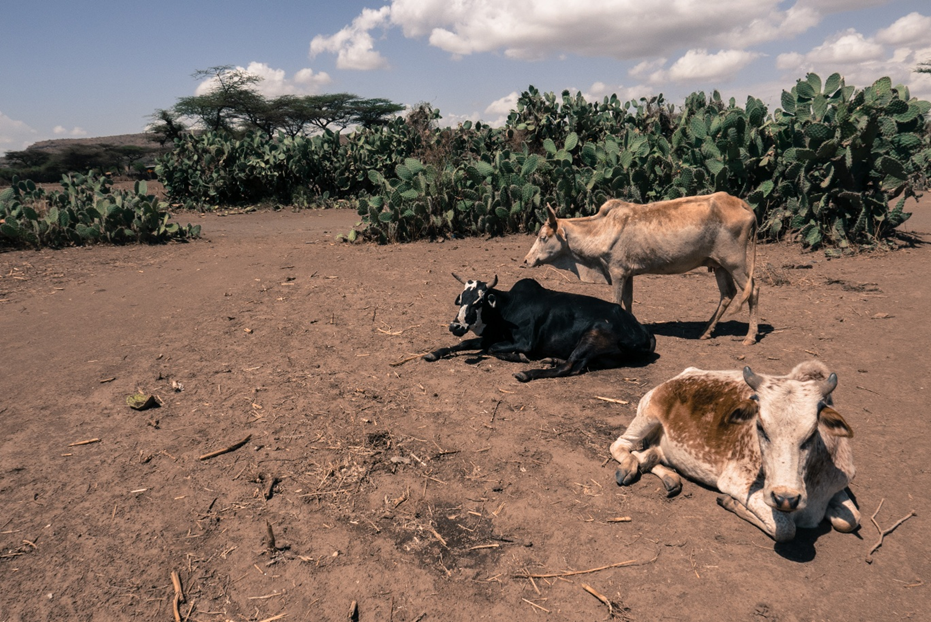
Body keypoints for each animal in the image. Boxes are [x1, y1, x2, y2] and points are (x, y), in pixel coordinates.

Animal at [423, 274, 656, 382]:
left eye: (479, 301)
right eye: (461, 298)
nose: (455, 326)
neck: (506, 307)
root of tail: (643, 331)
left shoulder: (525, 342)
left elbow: (493, 349)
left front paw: (520, 358)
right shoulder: (489, 336)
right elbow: (463, 344)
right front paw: (434, 353)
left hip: (594, 335)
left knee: (570, 367)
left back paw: (527, 373)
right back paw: (550, 360)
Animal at [522, 193, 760, 345]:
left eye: (543, 237)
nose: (526, 260)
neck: (601, 229)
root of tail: (742, 204)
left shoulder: (617, 272)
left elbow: (616, 302)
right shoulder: (628, 274)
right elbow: (628, 301)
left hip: (735, 263)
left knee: (752, 291)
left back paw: (749, 337)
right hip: (719, 265)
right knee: (728, 293)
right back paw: (706, 332)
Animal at [609, 361, 858, 542]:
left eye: (813, 432)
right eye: (760, 427)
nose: (786, 498)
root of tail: (682, 375)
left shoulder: (837, 487)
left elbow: (851, 519)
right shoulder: (737, 482)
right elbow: (786, 529)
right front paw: (730, 502)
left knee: (647, 455)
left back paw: (668, 477)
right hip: (646, 417)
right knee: (620, 446)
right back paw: (629, 469)